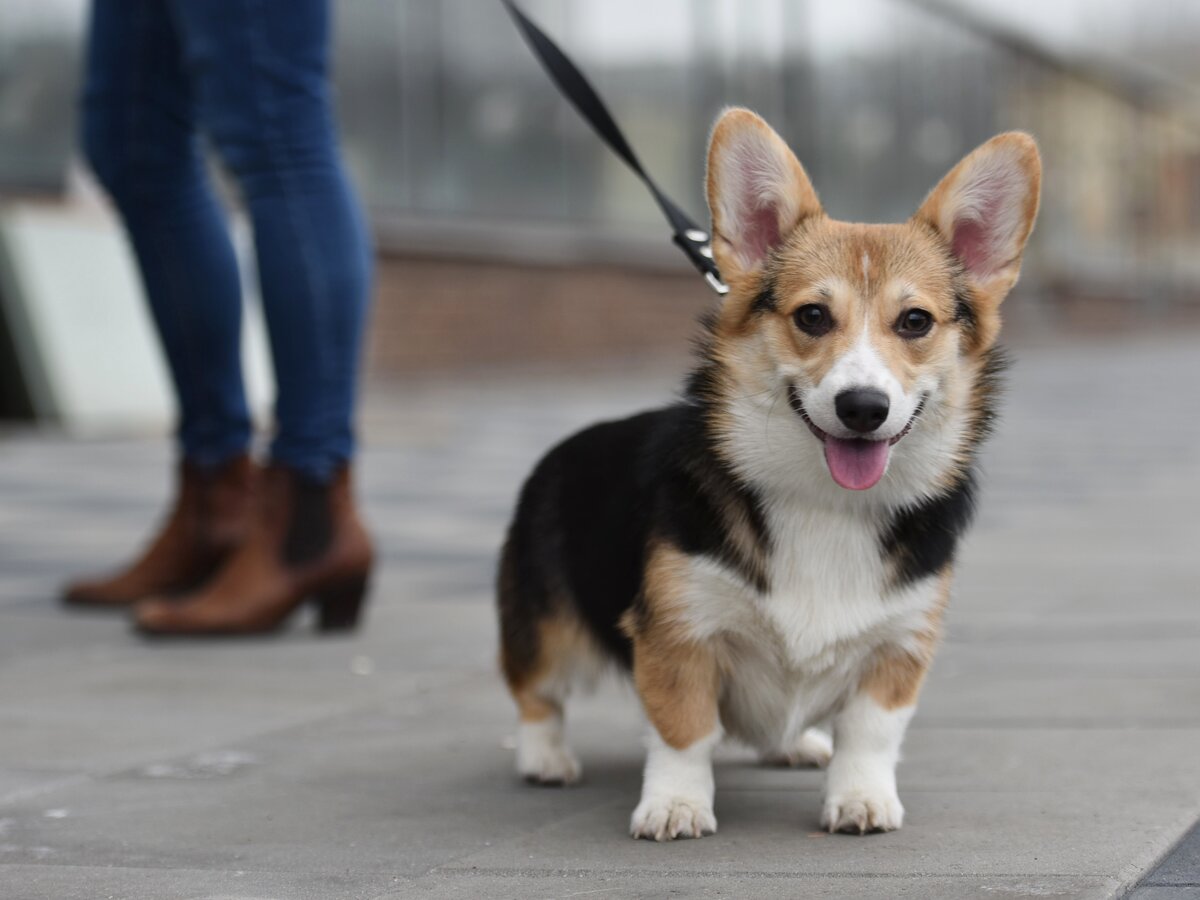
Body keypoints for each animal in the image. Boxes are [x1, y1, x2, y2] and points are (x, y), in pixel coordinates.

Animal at [496, 109, 1041, 844]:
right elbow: (684, 729)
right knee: (537, 694)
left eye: (915, 321)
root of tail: (562, 448)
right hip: (548, 628)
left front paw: (861, 798)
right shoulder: (680, 631)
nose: (862, 407)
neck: (823, 502)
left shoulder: (900, 643)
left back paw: (798, 744)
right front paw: (675, 805)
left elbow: (871, 733)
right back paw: (546, 759)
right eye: (812, 315)